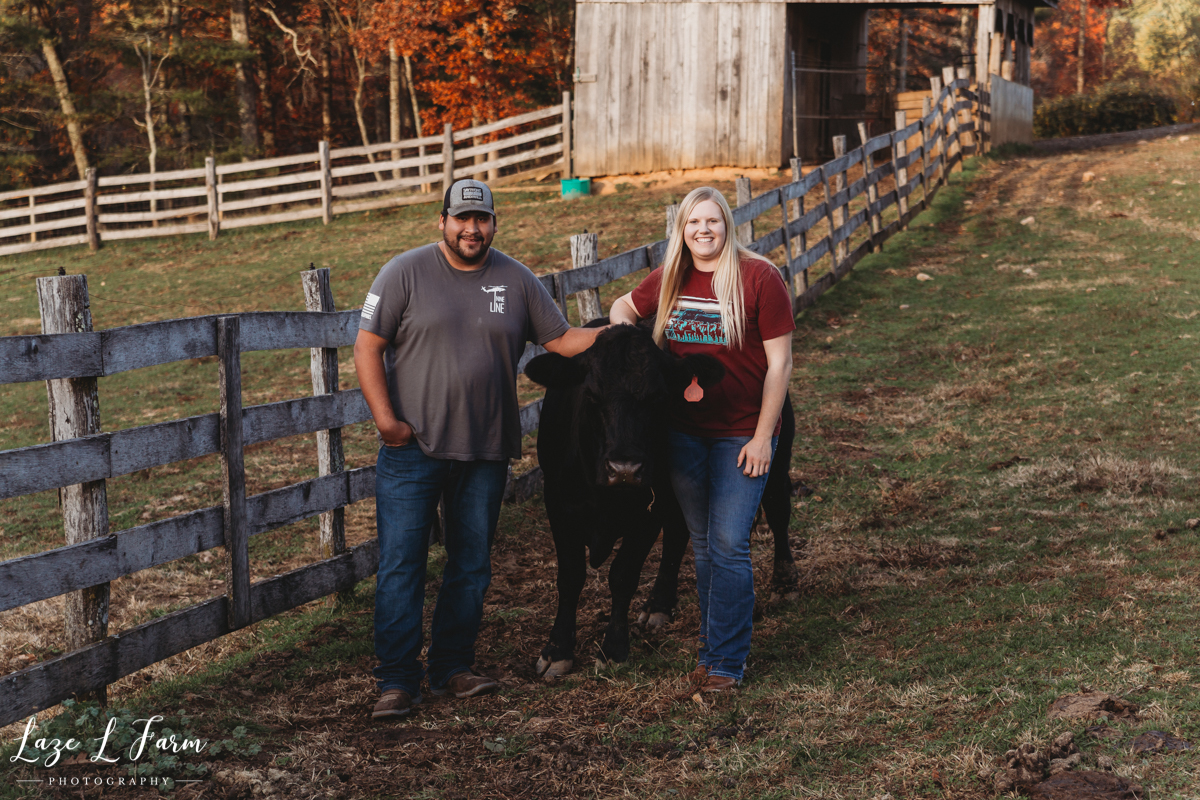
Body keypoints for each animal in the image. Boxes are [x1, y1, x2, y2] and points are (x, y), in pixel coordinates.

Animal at [525, 321, 720, 681]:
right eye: (590, 395)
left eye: (658, 397)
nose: (625, 469)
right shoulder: (558, 507)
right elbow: (570, 576)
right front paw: (558, 649)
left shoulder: (649, 512)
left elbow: (623, 575)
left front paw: (614, 647)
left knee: (676, 536)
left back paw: (658, 605)